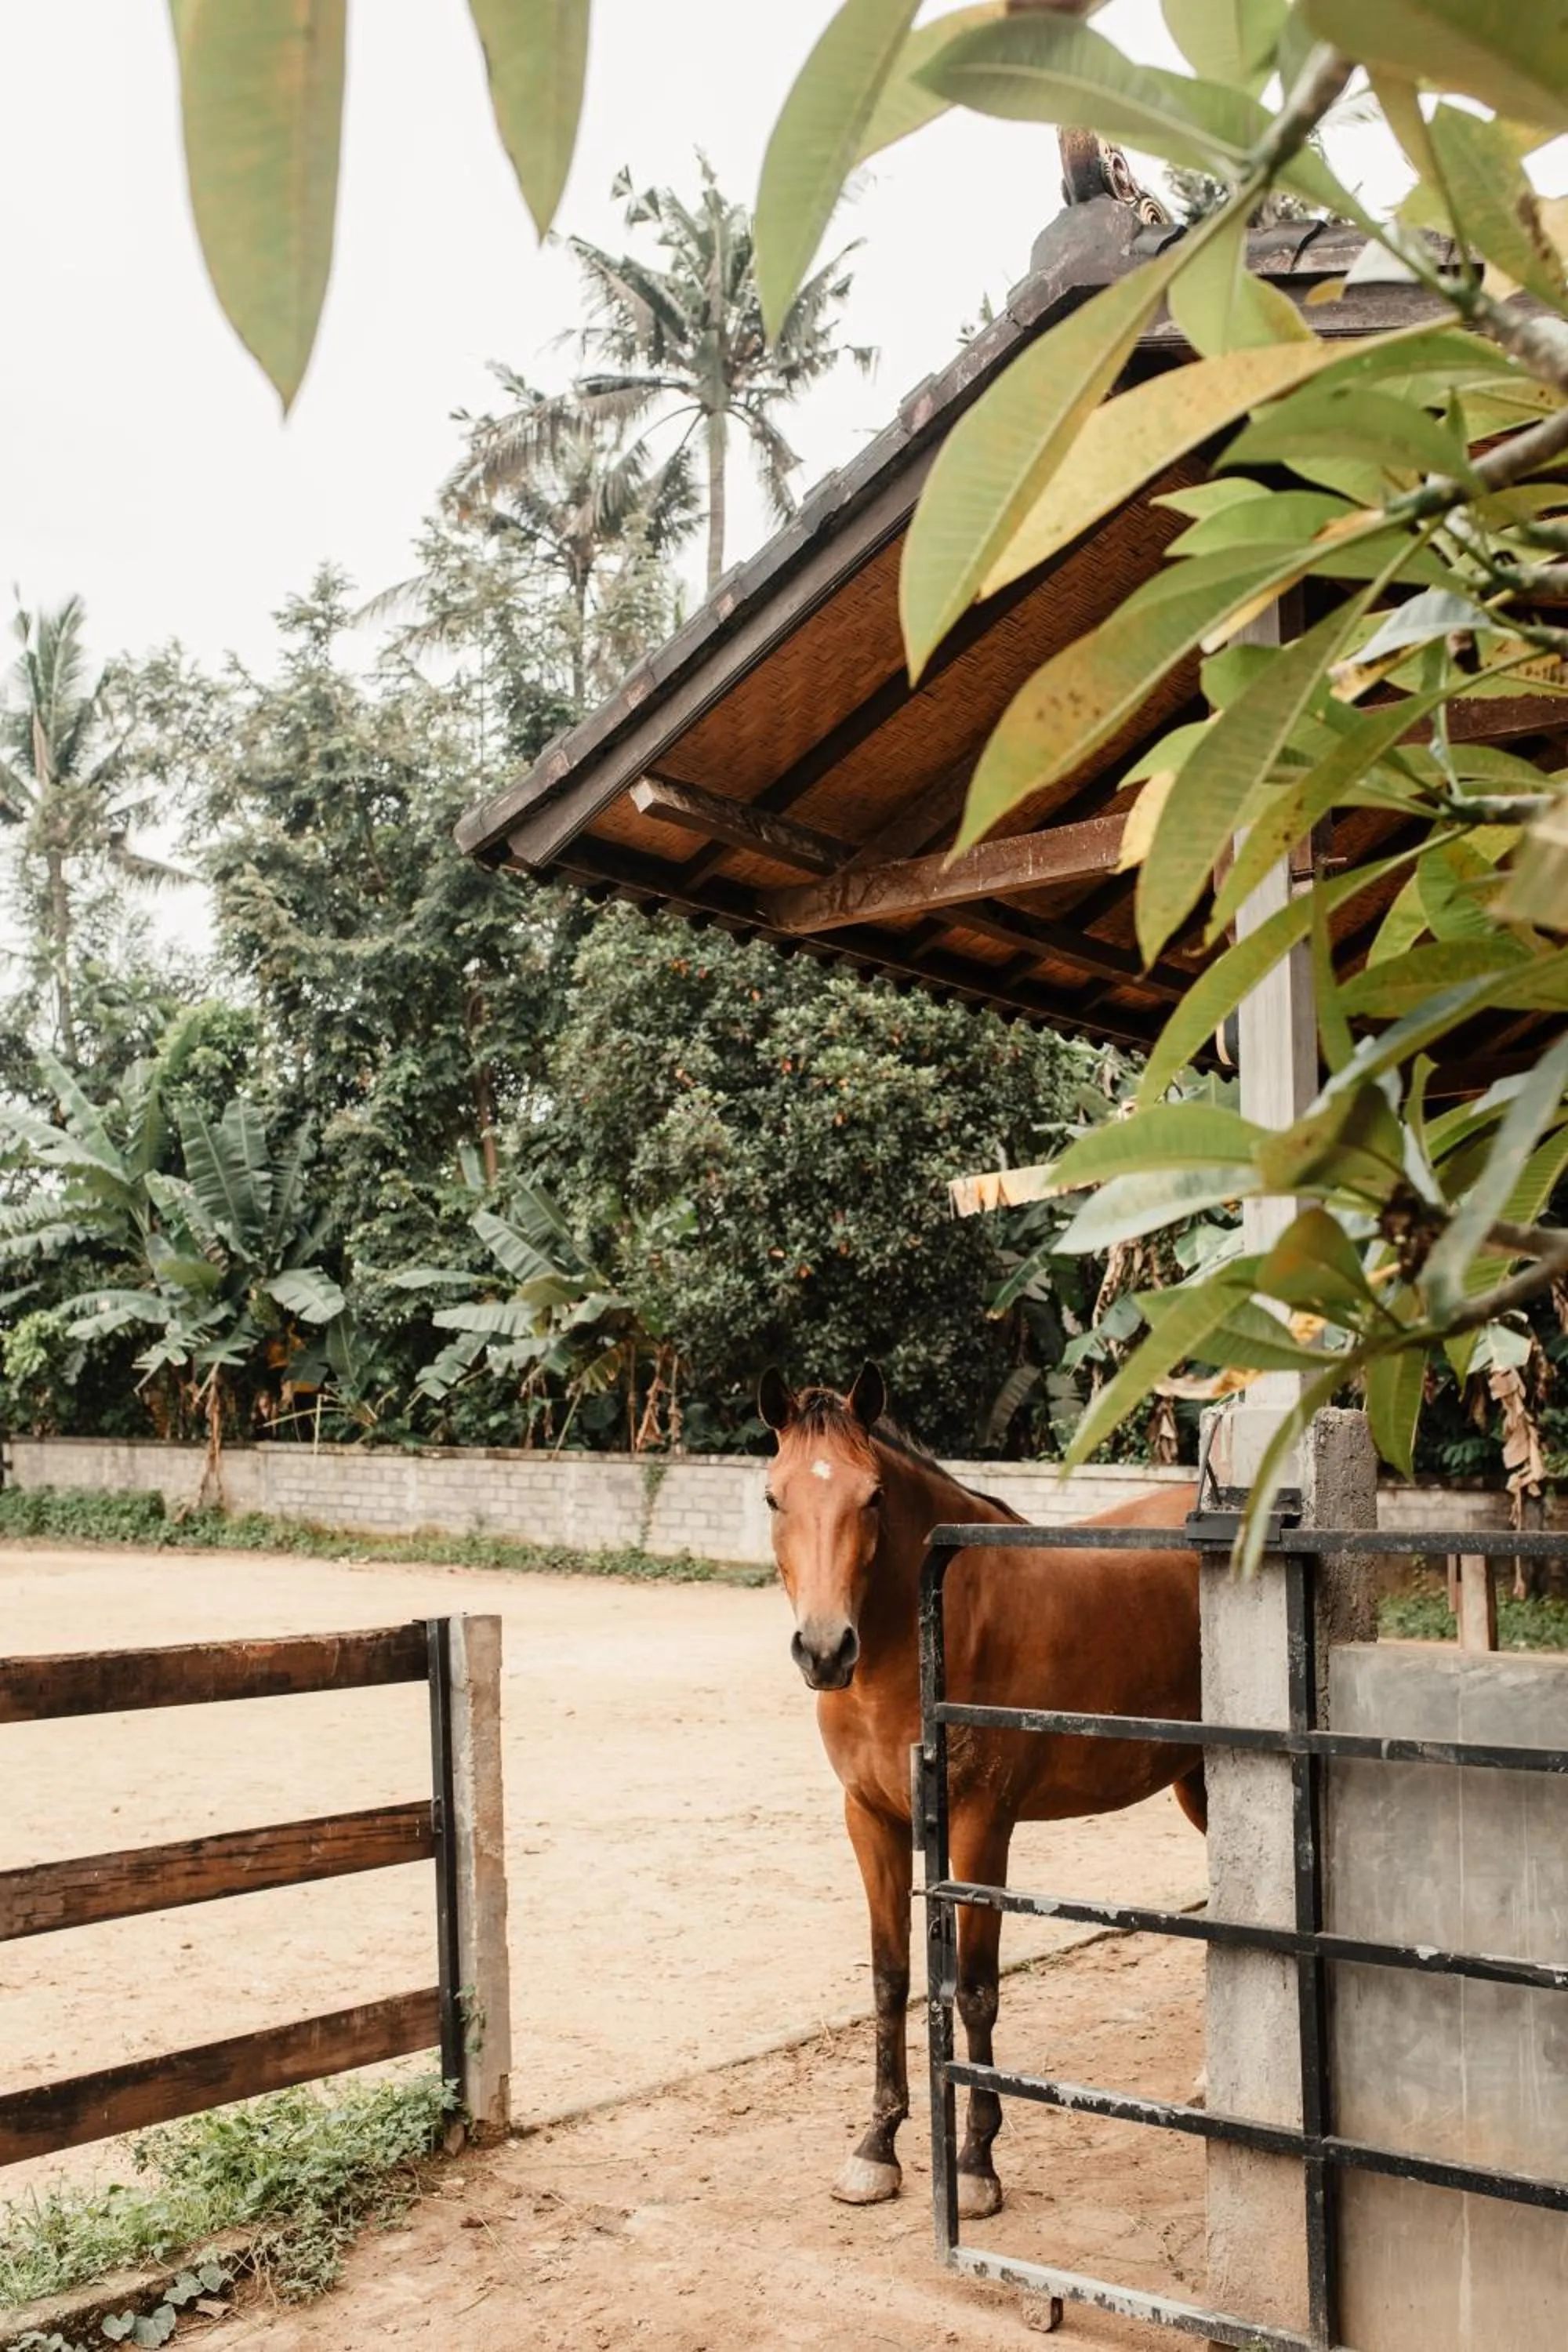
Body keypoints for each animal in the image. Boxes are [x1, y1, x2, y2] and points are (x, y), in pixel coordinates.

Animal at [759, 1360, 1204, 2219]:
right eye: (773, 1497)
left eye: (872, 1496)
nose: (825, 1650)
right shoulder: (869, 1819)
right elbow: (890, 1977)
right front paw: (876, 2147)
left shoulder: (980, 1824)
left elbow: (972, 1991)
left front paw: (973, 2164)